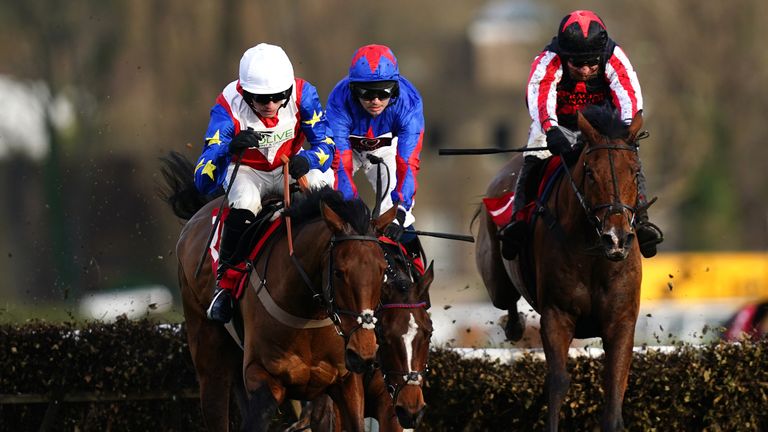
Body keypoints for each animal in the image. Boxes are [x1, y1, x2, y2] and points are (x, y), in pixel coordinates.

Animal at [160, 154, 396, 430]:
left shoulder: (345, 383)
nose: (364, 351)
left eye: (383, 270)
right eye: (339, 272)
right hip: (209, 359)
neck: (307, 313)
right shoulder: (263, 377)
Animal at [476, 105, 644, 432]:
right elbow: (557, 382)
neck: (594, 254)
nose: (616, 238)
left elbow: (615, 385)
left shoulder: (621, 320)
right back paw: (514, 324)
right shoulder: (556, 316)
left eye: (634, 170)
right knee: (506, 301)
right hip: (496, 279)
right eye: (590, 172)